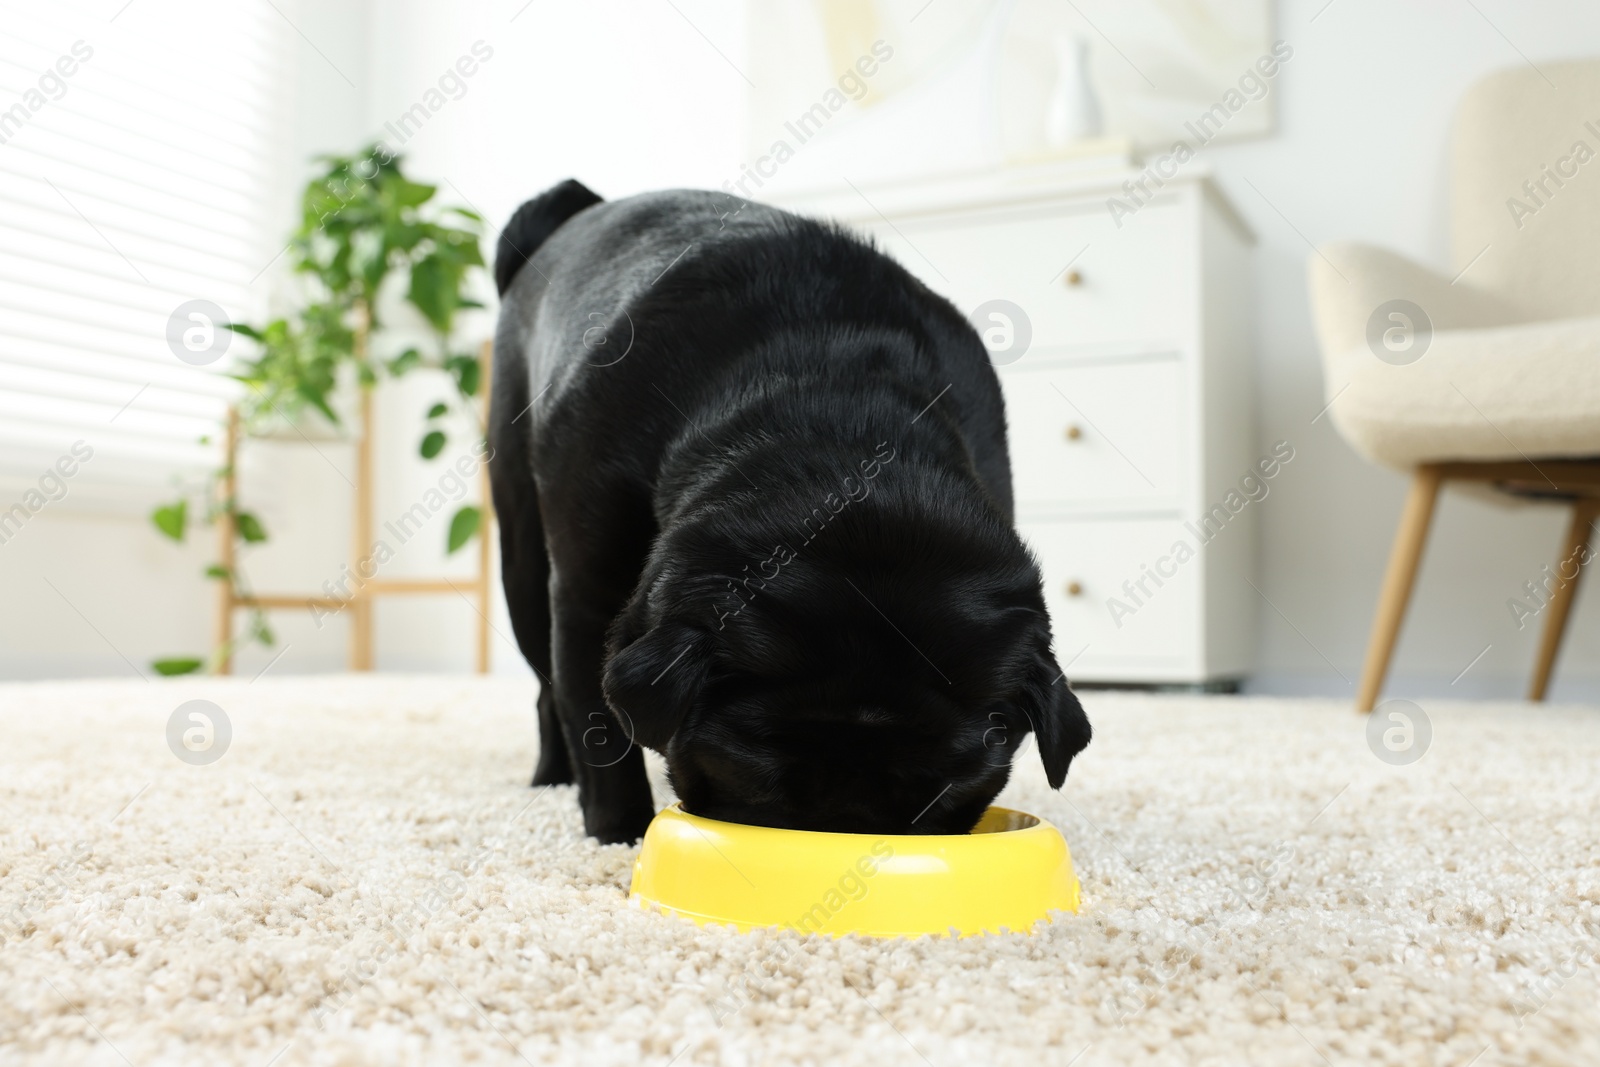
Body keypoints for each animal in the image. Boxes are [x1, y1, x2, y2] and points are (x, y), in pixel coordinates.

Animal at [486, 179, 1088, 844]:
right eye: (754, 774)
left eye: (947, 794)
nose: (847, 825)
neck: (841, 416)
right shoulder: (586, 601)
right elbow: (597, 727)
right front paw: (621, 834)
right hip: (521, 561)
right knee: (547, 688)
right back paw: (551, 776)